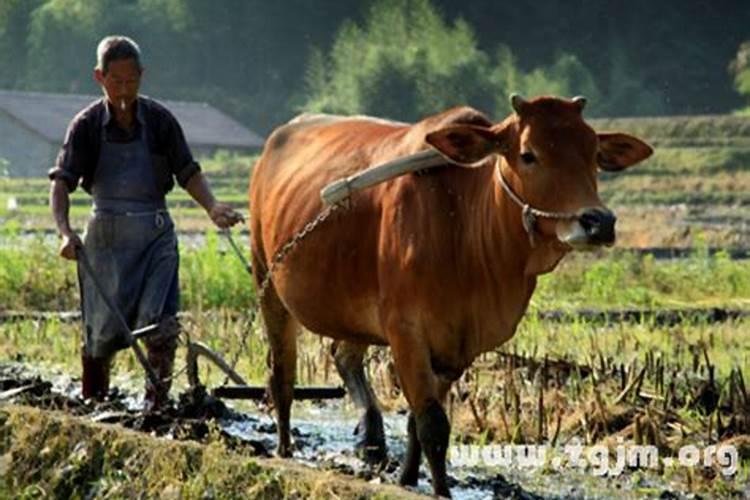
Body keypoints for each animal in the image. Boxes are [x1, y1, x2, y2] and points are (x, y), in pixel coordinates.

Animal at [251, 94, 652, 496]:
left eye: (593, 153)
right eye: (528, 154)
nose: (599, 222)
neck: (464, 226)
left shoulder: (456, 350)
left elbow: (417, 422)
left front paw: (407, 478)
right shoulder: (406, 332)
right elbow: (433, 424)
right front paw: (441, 490)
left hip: (353, 310)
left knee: (343, 355)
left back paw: (371, 438)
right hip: (267, 283)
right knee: (282, 372)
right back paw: (285, 449)